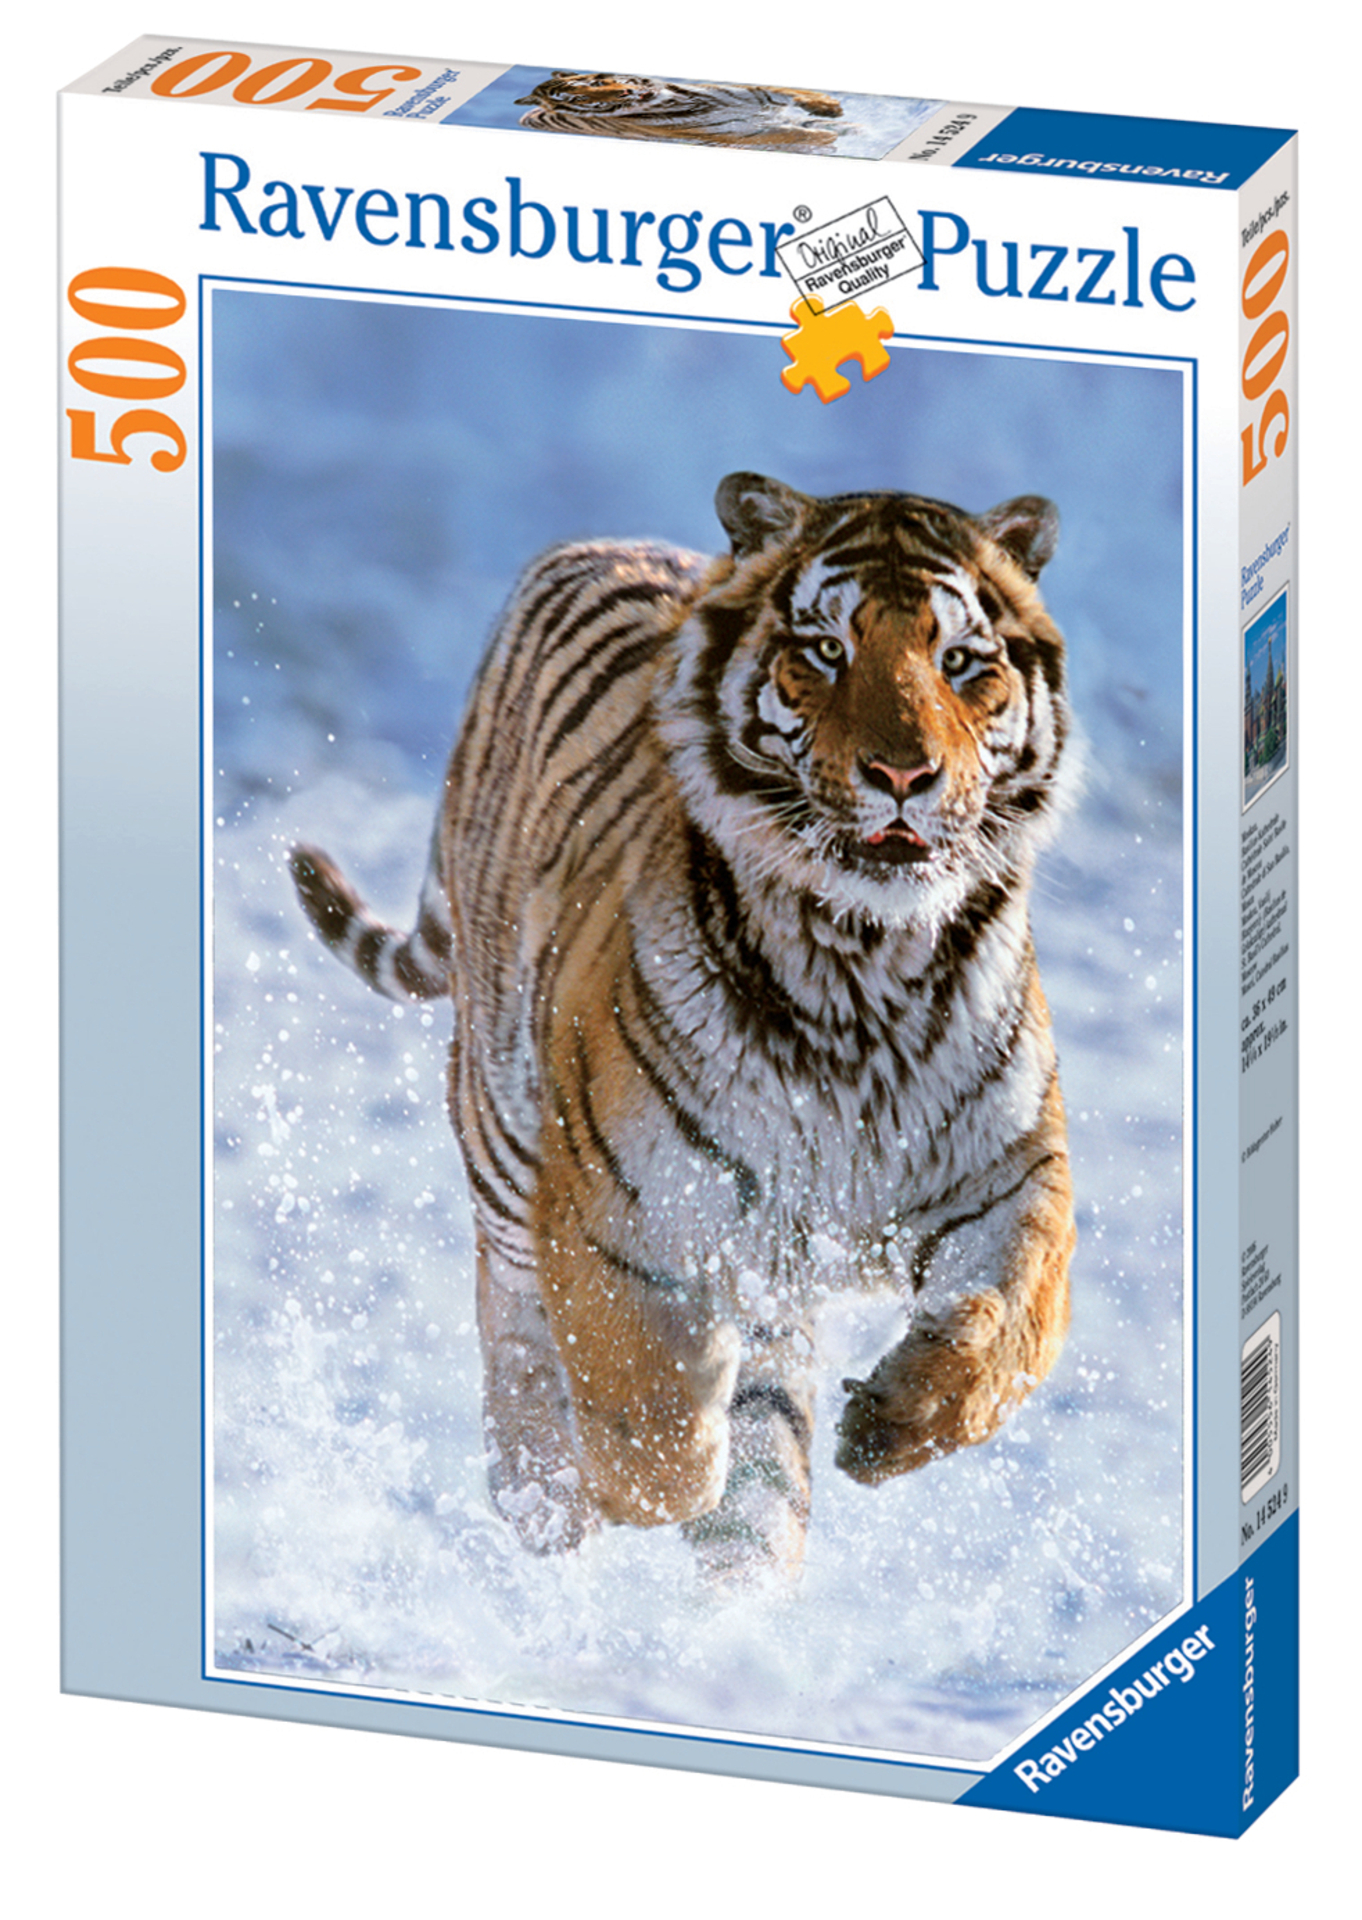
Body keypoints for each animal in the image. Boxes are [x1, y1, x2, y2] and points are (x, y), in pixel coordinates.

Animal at [290, 472, 1077, 1587]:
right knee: (515, 1326)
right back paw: (547, 1502)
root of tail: (592, 544)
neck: (863, 966)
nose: (903, 775)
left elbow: (1016, 1325)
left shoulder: (1011, 1174)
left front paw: (891, 1424)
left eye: (963, 663)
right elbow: (649, 1423)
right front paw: (652, 1469)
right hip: (502, 1131)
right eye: (824, 651)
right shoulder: (612, 1204)